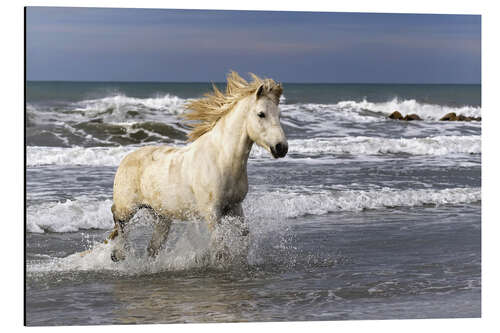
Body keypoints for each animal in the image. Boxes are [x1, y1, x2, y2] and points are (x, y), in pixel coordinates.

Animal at [108, 71, 290, 260]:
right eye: (261, 114)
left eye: (279, 115)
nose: (281, 148)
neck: (221, 159)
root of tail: (125, 159)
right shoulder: (211, 212)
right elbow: (220, 248)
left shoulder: (235, 207)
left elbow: (245, 238)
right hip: (128, 209)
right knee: (118, 220)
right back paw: (118, 254)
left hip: (162, 216)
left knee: (153, 247)